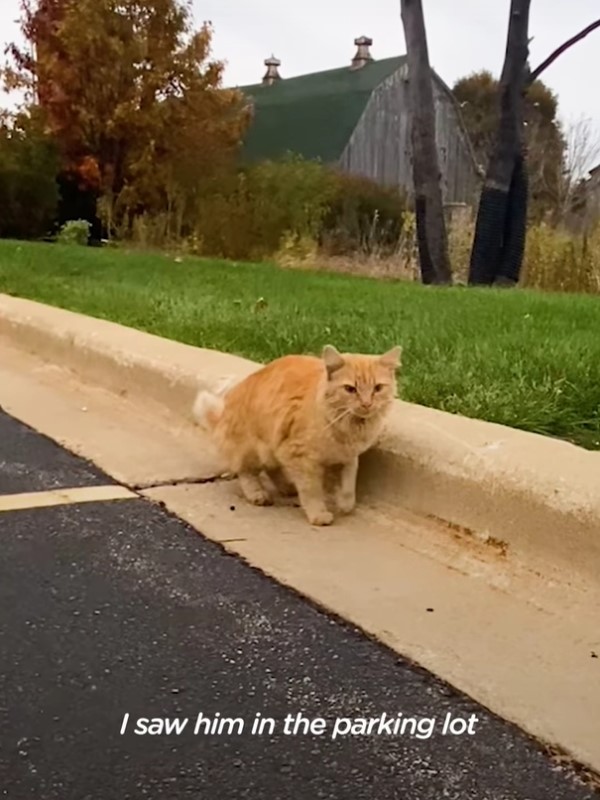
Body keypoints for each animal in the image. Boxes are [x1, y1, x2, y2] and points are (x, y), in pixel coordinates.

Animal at [195, 344, 400, 524]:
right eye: (350, 389)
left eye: (378, 388)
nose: (367, 404)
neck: (348, 427)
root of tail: (224, 412)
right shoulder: (300, 455)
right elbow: (312, 490)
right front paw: (318, 515)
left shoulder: (348, 455)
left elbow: (349, 482)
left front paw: (346, 504)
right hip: (252, 449)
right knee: (246, 472)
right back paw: (258, 494)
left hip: (273, 447)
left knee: (273, 469)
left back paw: (287, 488)